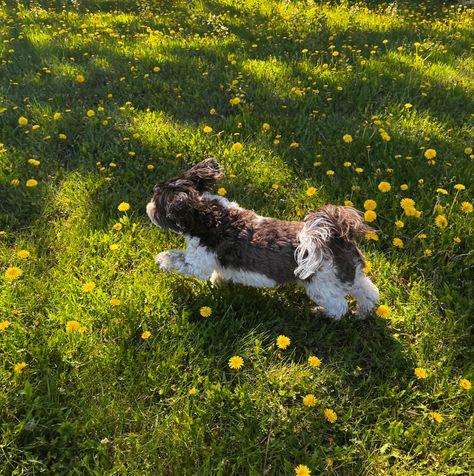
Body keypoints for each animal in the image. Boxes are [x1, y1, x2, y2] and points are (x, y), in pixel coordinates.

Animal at [146, 159, 380, 320]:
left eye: (157, 201)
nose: (148, 207)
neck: (212, 215)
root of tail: (335, 236)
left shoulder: (198, 261)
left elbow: (179, 259)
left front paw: (161, 260)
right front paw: (218, 281)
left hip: (322, 285)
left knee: (338, 307)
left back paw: (321, 313)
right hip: (350, 274)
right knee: (368, 292)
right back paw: (363, 312)